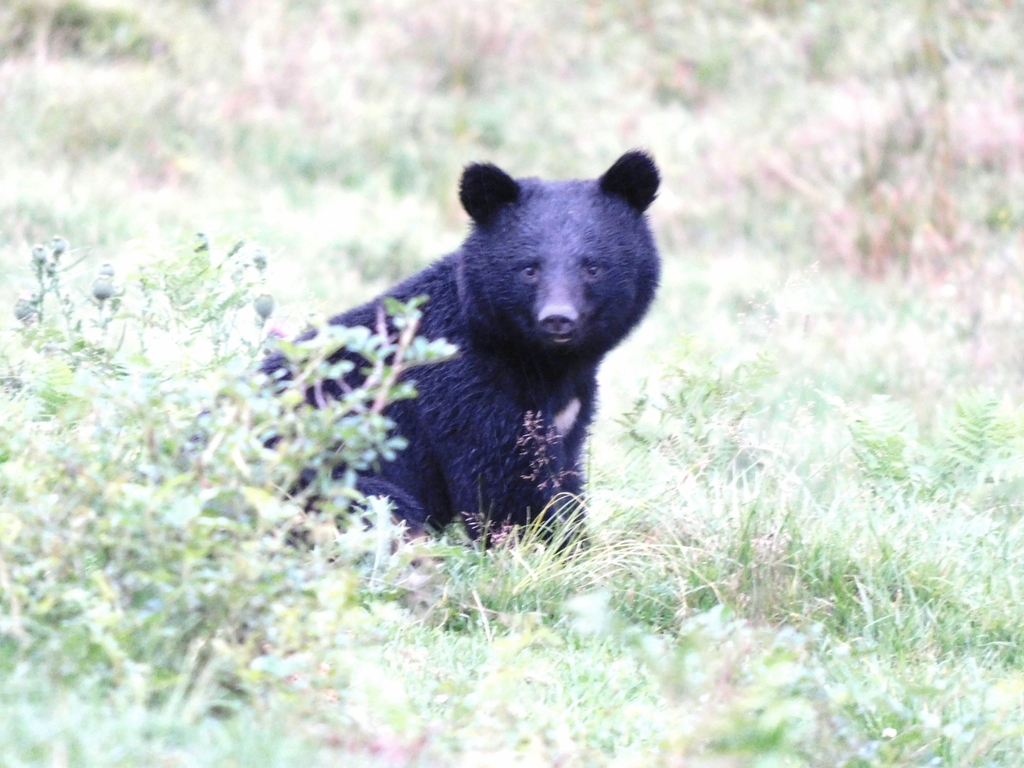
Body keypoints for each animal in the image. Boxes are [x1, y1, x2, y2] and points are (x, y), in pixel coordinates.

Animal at [266, 150, 663, 544]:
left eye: (593, 267)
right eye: (529, 269)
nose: (558, 319)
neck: (541, 360)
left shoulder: (572, 408)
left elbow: (565, 474)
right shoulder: (466, 391)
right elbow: (504, 484)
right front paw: (543, 544)